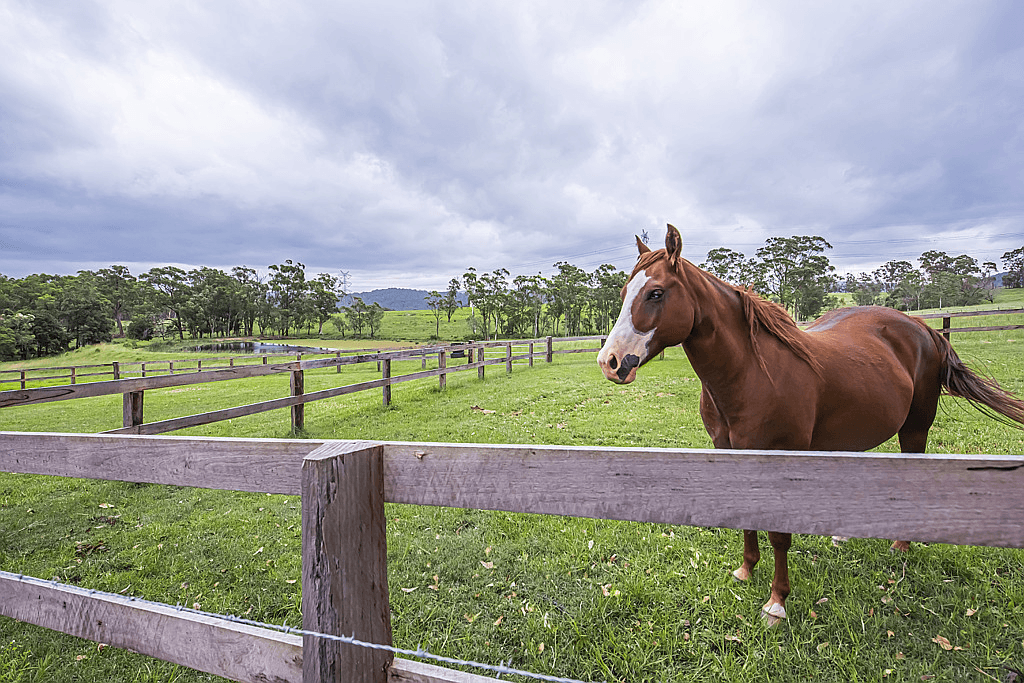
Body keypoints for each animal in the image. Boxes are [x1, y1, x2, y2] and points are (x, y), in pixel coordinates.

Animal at [598, 223, 1024, 626]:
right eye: (624, 292)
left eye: (655, 293)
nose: (610, 361)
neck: (751, 371)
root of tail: (925, 329)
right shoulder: (731, 453)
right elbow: (747, 519)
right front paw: (745, 570)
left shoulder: (780, 456)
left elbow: (779, 535)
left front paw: (776, 602)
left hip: (914, 430)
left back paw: (900, 546)